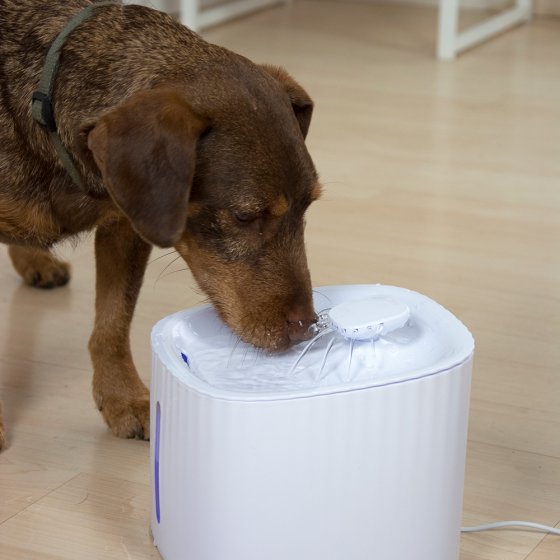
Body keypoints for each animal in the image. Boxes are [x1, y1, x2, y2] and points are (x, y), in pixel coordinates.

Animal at [0, 0, 322, 448]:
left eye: (308, 206)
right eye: (245, 216)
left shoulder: (126, 224)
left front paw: (122, 399)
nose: (307, 327)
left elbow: (113, 323)